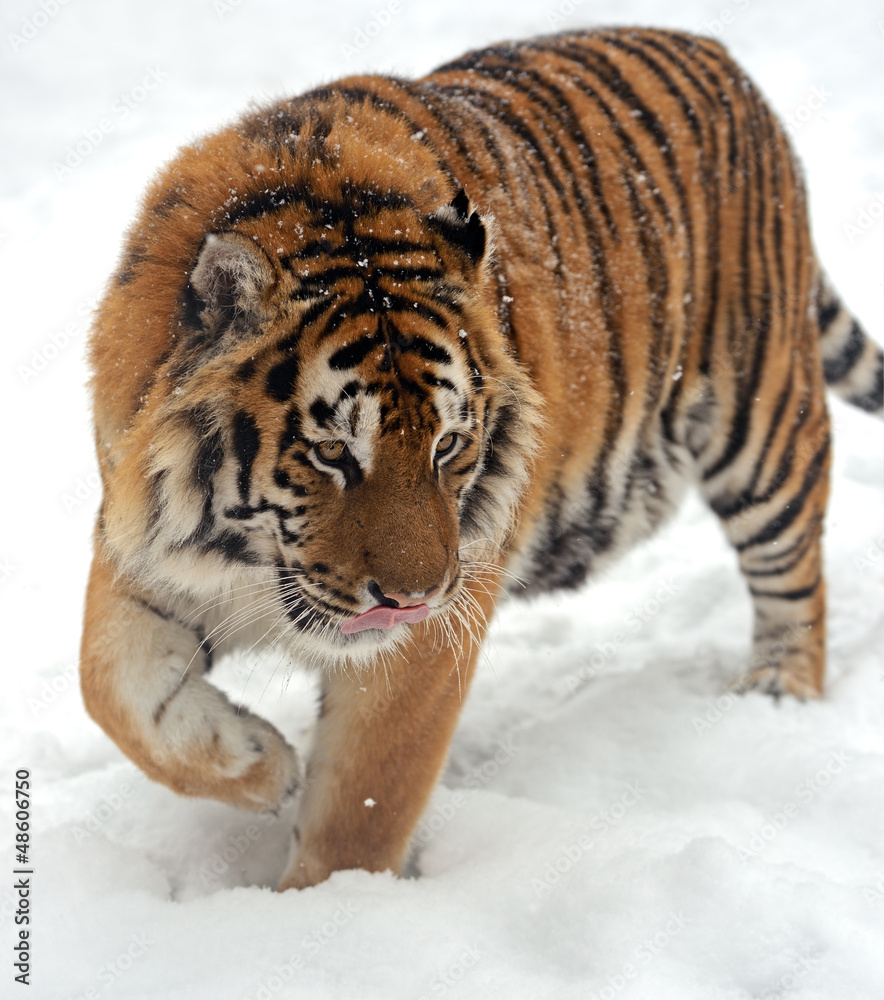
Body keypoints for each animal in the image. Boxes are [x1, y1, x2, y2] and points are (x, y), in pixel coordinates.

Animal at [80, 27, 883, 891]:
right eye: (330, 452)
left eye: (449, 445)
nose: (410, 598)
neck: (252, 561)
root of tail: (716, 52)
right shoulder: (143, 541)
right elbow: (113, 687)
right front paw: (262, 763)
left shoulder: (434, 628)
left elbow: (362, 803)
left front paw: (320, 910)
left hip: (762, 426)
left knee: (795, 580)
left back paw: (775, 698)